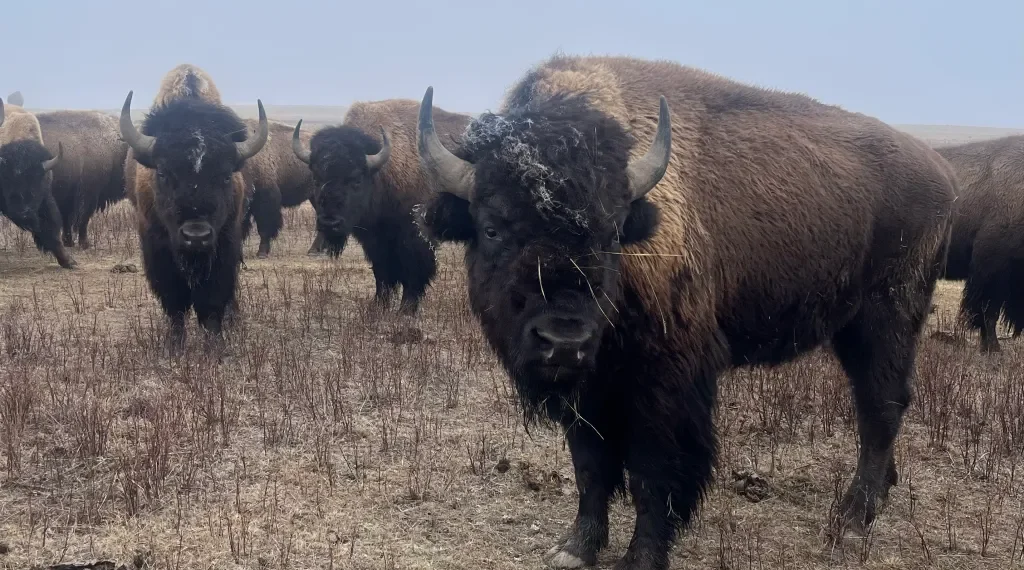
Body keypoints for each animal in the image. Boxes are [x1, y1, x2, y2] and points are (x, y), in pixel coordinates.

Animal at [0, 98, 75, 269]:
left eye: (37, 180)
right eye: (6, 180)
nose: (24, 213)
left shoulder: (44, 200)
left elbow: (51, 229)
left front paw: (69, 261)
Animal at [119, 75, 268, 351]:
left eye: (225, 175)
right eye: (163, 173)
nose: (196, 236)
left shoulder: (225, 245)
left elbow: (212, 302)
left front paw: (216, 347)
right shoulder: (158, 249)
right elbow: (175, 302)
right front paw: (174, 346)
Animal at [292, 98, 471, 314]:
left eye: (357, 179)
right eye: (316, 179)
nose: (329, 223)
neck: (383, 171)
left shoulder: (415, 236)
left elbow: (414, 270)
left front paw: (406, 310)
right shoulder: (374, 239)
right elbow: (382, 271)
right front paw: (378, 305)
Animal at [415, 55, 956, 569]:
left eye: (612, 233)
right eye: (491, 228)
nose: (563, 341)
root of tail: (942, 174)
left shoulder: (666, 383)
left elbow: (654, 471)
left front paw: (641, 558)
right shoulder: (591, 388)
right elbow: (590, 465)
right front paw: (575, 548)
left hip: (886, 318)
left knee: (880, 407)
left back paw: (851, 522)